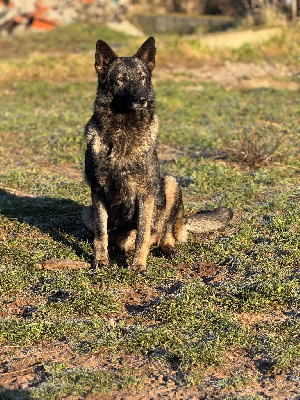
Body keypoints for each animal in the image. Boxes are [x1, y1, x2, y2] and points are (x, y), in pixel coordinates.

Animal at [83, 37, 233, 272]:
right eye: (121, 79)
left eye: (143, 77)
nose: (142, 99)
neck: (123, 132)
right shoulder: (98, 192)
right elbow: (101, 233)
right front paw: (101, 260)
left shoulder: (145, 194)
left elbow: (142, 235)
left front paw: (138, 265)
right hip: (87, 213)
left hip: (170, 184)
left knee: (163, 233)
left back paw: (168, 248)